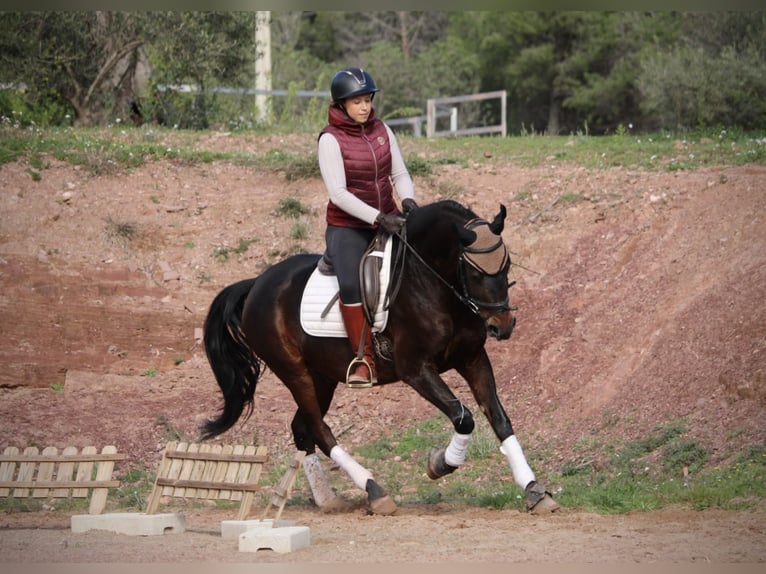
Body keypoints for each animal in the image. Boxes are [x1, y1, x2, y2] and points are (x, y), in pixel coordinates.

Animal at [200, 199, 558, 515]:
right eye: (473, 273)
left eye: (506, 265)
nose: (502, 326)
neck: (431, 283)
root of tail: (257, 283)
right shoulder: (416, 370)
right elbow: (464, 417)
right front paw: (441, 463)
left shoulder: (472, 358)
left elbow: (499, 419)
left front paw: (533, 490)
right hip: (294, 371)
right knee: (318, 428)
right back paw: (373, 490)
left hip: (323, 377)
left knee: (302, 428)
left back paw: (328, 500)